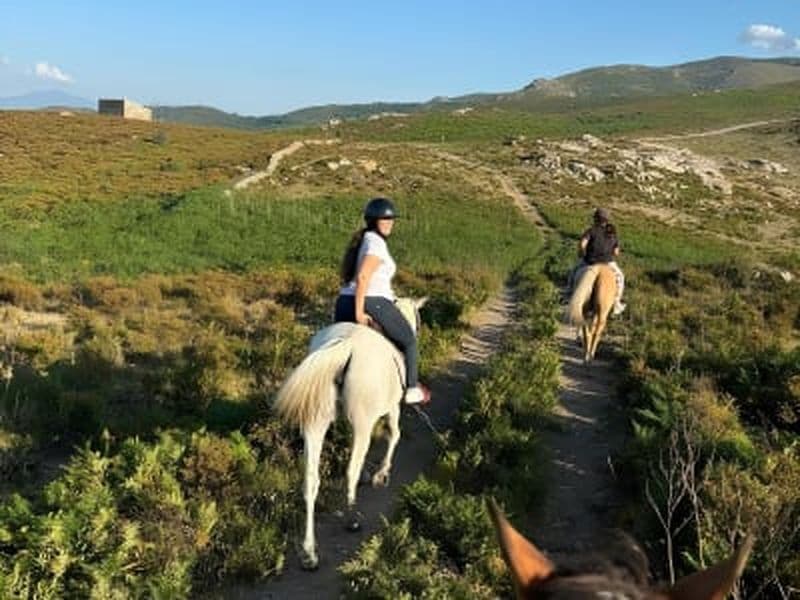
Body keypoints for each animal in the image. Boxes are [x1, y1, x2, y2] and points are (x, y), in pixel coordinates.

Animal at [274, 297, 427, 570]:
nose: (417, 331)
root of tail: (345, 346)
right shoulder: (392, 408)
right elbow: (394, 435)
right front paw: (381, 474)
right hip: (362, 420)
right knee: (350, 471)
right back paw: (352, 518)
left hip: (317, 421)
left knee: (310, 480)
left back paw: (309, 553)